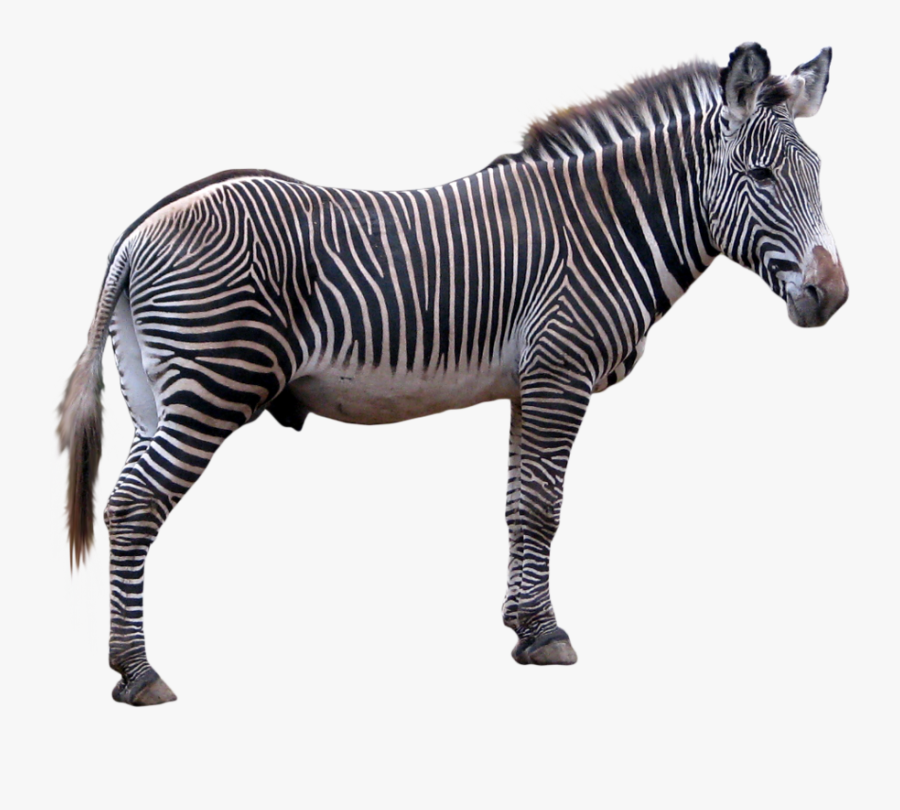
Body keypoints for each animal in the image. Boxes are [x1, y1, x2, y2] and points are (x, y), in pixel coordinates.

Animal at [59, 43, 847, 705]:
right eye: (761, 175)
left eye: (817, 176)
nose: (832, 295)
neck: (607, 227)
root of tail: (138, 231)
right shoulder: (561, 373)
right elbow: (544, 508)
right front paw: (549, 636)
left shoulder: (532, 384)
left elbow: (518, 506)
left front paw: (523, 626)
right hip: (212, 387)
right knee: (134, 508)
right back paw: (139, 674)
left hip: (152, 398)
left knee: (125, 504)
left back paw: (125, 663)